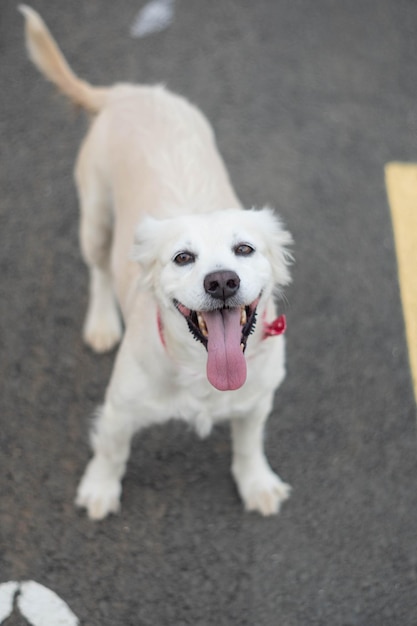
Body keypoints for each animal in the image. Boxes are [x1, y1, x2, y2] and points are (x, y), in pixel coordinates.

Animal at [20, 7, 292, 520]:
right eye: (183, 257)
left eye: (244, 250)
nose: (222, 282)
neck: (202, 372)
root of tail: (127, 92)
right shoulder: (119, 408)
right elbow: (111, 450)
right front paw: (100, 490)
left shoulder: (256, 402)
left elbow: (249, 445)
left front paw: (256, 483)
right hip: (95, 220)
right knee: (100, 270)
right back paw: (102, 323)